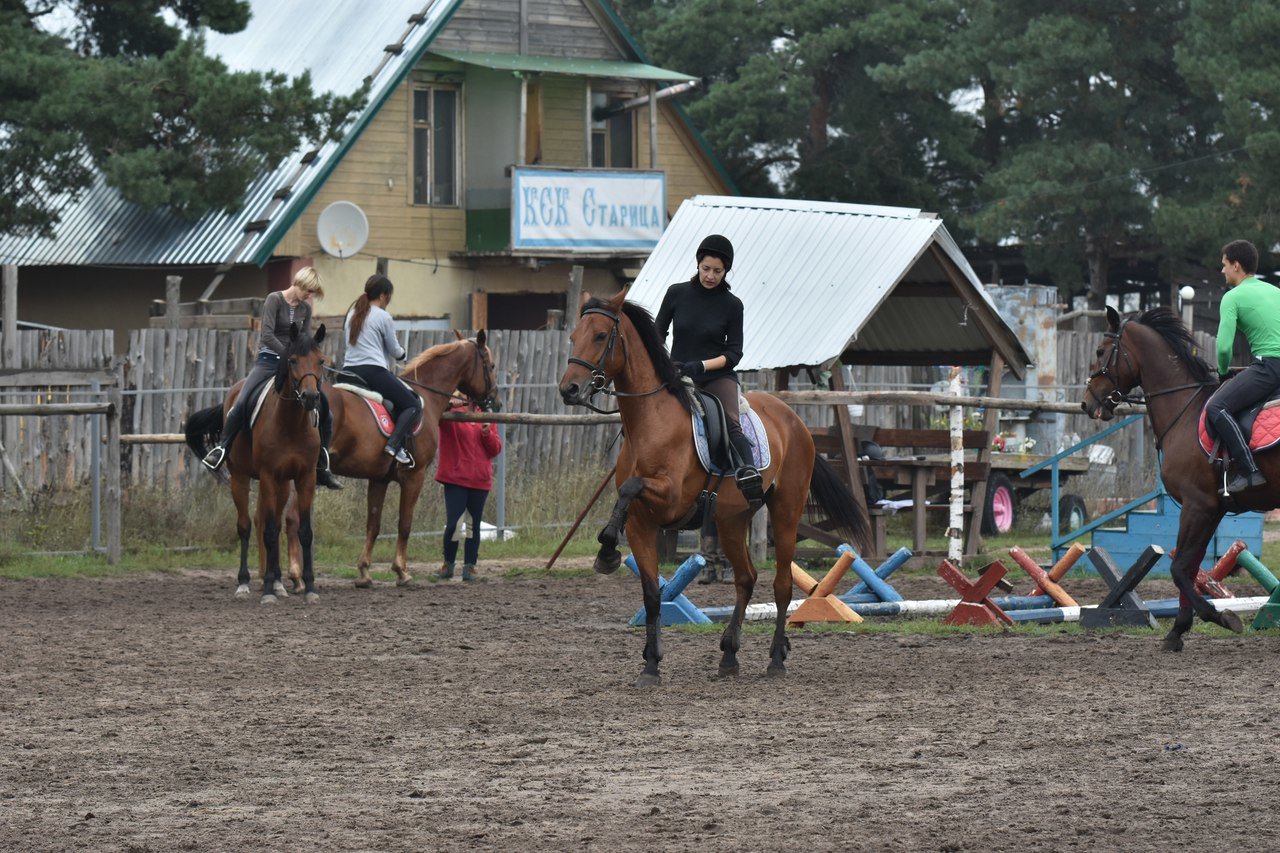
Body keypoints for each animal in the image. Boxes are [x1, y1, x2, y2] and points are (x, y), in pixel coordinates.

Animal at [183, 322, 330, 601]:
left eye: (321, 361)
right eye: (292, 360)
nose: (310, 397)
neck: (291, 424)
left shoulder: (305, 477)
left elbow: (304, 532)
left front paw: (310, 588)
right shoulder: (268, 476)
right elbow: (269, 533)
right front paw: (268, 592)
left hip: (282, 485)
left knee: (269, 523)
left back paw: (279, 582)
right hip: (241, 478)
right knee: (246, 525)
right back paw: (245, 583)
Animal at [318, 330, 499, 584]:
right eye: (490, 365)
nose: (495, 402)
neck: (427, 395)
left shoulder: (379, 479)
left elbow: (373, 524)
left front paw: (364, 571)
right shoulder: (415, 476)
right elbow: (405, 524)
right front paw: (401, 571)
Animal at [565, 290, 875, 686]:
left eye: (602, 336)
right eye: (574, 337)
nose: (569, 389)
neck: (650, 422)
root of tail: (795, 420)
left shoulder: (672, 499)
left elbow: (631, 487)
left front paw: (606, 549)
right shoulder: (640, 524)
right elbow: (651, 594)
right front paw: (650, 665)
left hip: (786, 512)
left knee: (781, 584)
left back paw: (776, 659)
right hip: (730, 520)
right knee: (746, 578)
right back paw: (729, 655)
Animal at [1085, 303, 1254, 645]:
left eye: (1100, 351)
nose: (1086, 403)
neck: (1185, 410)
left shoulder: (1197, 505)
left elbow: (1178, 569)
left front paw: (1218, 616)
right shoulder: (1210, 509)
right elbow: (1187, 567)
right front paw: (1178, 629)